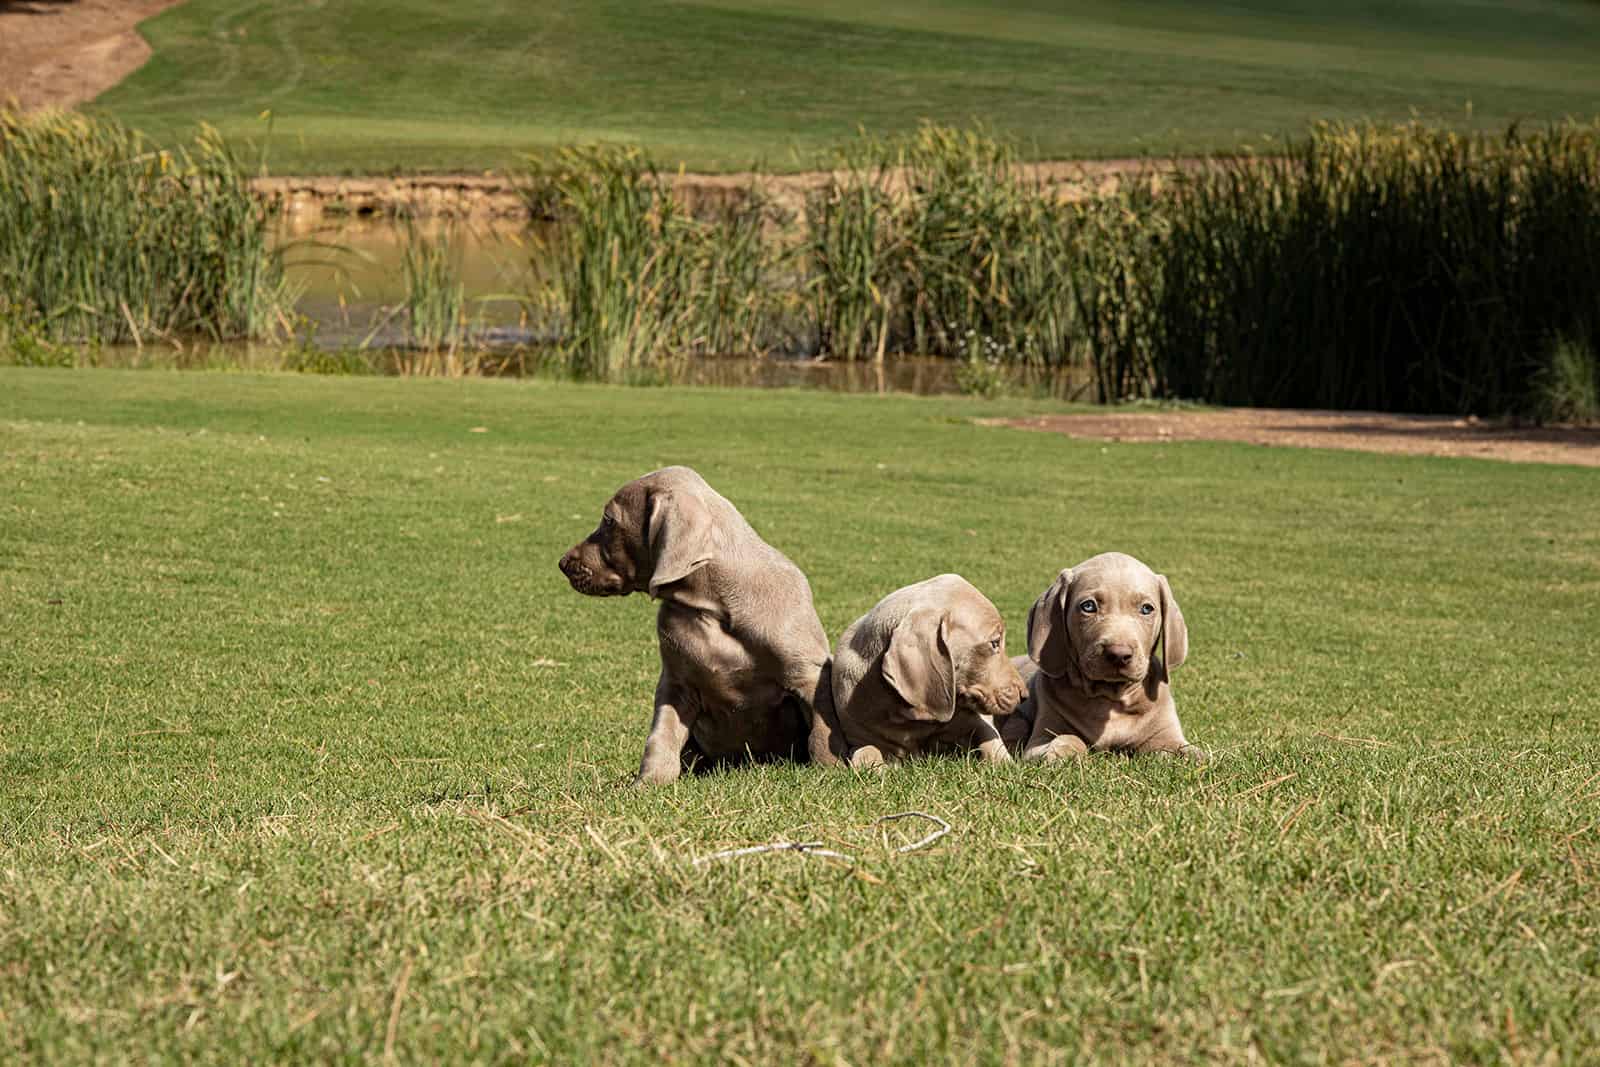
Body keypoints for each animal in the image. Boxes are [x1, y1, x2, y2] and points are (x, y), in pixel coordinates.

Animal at [556, 467, 844, 783]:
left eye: (609, 520)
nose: (563, 563)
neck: (713, 609)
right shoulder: (676, 684)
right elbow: (661, 736)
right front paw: (651, 781)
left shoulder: (808, 675)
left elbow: (822, 733)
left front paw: (832, 770)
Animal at [998, 556, 1203, 764]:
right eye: (1088, 606)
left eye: (1147, 609)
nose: (1119, 654)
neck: (1111, 700)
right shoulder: (1041, 738)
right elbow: (1067, 737)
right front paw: (1061, 751)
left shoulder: (1165, 735)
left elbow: (1190, 752)